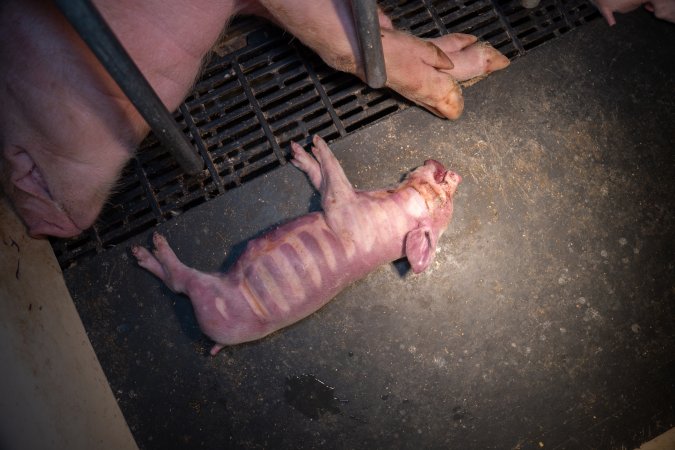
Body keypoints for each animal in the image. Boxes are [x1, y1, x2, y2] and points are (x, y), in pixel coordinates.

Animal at [132, 135, 462, 354]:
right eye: (449, 192)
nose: (456, 174)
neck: (391, 205)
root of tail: (219, 342)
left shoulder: (341, 207)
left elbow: (334, 177)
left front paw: (317, 142)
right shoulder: (346, 198)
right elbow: (321, 179)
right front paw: (298, 151)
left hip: (206, 297)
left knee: (178, 283)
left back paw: (148, 248)